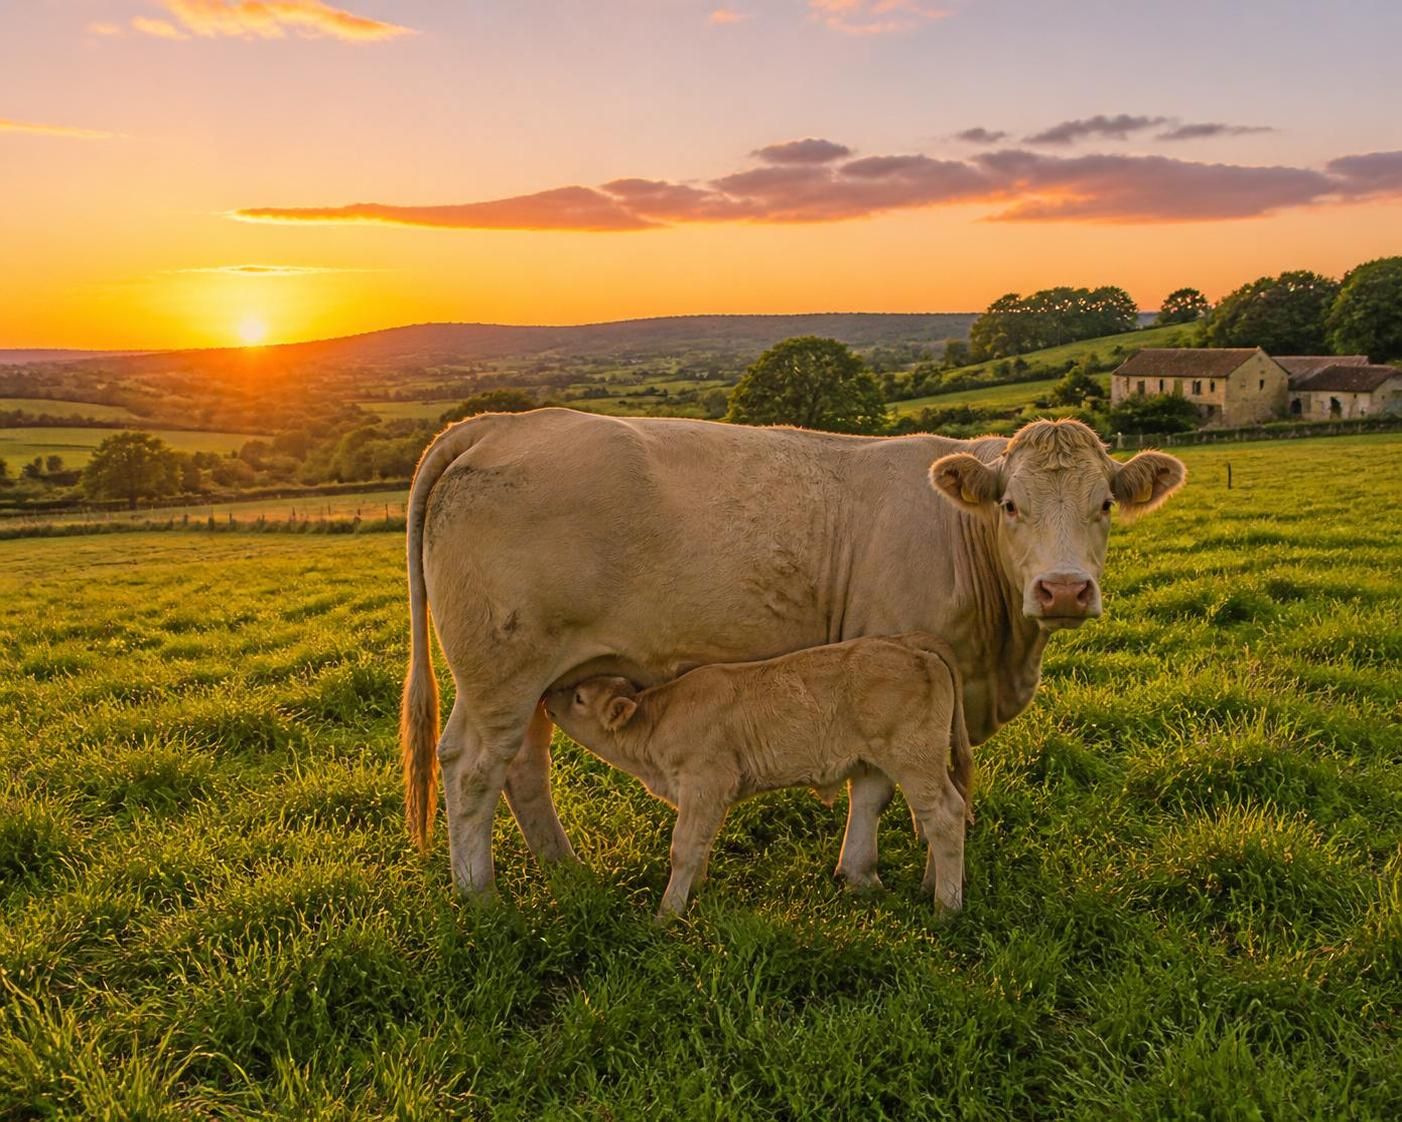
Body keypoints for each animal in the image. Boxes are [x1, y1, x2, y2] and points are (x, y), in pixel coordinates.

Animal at [544, 633, 974, 918]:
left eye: (579, 697)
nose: (548, 697)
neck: (659, 719)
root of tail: (916, 649)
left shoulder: (706, 781)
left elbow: (683, 847)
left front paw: (667, 913)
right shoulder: (706, 795)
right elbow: (701, 842)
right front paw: (695, 889)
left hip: (915, 760)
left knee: (945, 815)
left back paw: (946, 905)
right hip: (881, 763)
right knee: (885, 807)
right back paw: (916, 884)